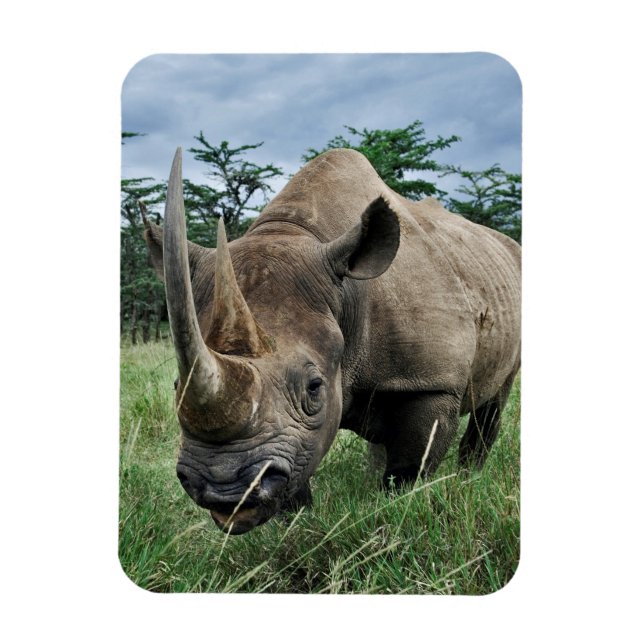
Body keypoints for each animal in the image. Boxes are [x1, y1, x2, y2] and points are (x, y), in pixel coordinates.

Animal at [143, 147, 521, 535]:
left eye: (314, 387)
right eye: (176, 386)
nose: (224, 490)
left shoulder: (431, 382)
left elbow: (409, 469)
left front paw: (397, 509)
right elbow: (298, 476)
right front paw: (298, 526)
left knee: (495, 398)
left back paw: (468, 478)